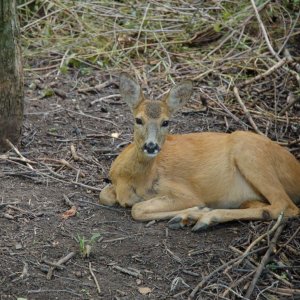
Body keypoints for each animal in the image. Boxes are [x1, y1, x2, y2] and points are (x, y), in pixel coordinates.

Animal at [100, 73, 300, 232]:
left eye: (166, 122)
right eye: (138, 119)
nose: (151, 146)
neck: (133, 179)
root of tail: (296, 166)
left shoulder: (185, 193)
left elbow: (137, 209)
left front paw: (195, 211)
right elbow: (105, 196)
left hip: (251, 154)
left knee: (285, 205)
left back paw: (205, 218)